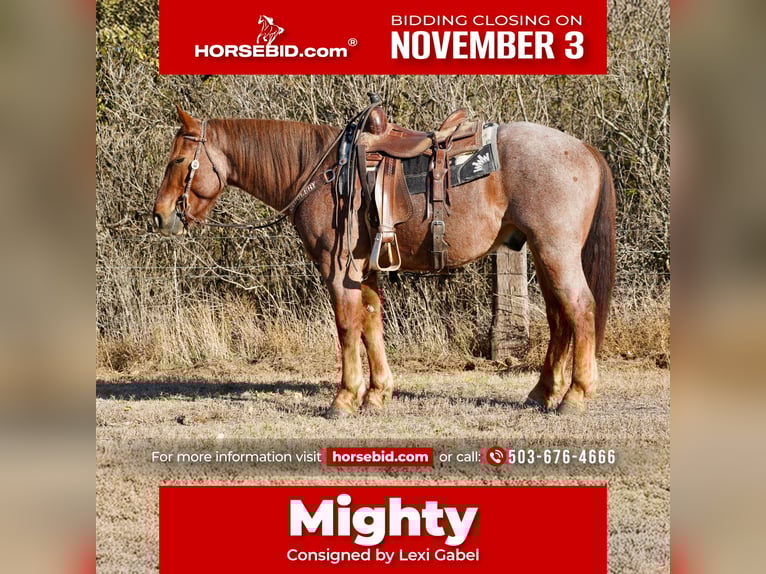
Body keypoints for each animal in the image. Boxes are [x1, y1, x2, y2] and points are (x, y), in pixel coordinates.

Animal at [153, 104, 616, 416]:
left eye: (178, 160)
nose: (159, 215)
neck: (323, 174)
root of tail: (584, 149)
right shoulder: (365, 270)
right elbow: (372, 323)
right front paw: (377, 394)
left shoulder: (338, 270)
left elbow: (346, 327)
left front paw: (344, 398)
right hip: (543, 253)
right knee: (559, 318)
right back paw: (542, 392)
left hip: (555, 253)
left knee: (579, 309)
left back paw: (575, 395)